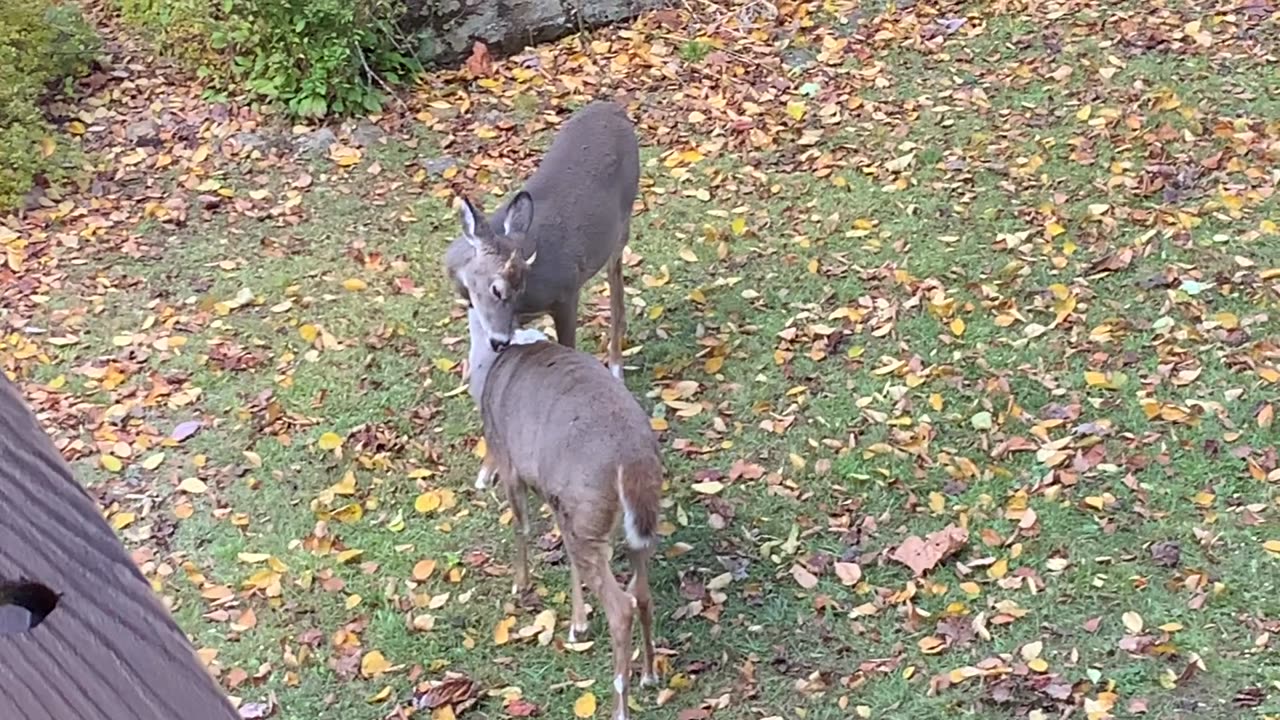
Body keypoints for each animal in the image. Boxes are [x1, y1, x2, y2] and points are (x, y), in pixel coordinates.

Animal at [445, 101, 640, 381]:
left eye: (515, 288)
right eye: (496, 289)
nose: (500, 341)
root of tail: (613, 108)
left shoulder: (567, 291)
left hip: (622, 224)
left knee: (616, 289)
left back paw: (615, 367)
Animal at [468, 312, 665, 717]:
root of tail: (631, 460)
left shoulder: (509, 461)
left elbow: (522, 527)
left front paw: (521, 585)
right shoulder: (559, 499)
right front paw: (578, 626)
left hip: (588, 514)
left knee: (621, 607)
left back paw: (619, 706)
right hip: (626, 524)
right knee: (641, 592)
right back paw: (650, 675)